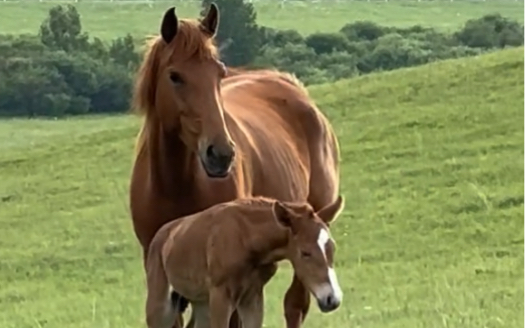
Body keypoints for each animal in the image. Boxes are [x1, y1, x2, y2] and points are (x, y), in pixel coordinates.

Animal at [145, 196, 346, 328]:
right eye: (305, 253)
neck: (245, 238)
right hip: (160, 307)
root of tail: (162, 234)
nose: (332, 299)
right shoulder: (220, 296)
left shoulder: (252, 296)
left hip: (201, 304)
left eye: (333, 248)